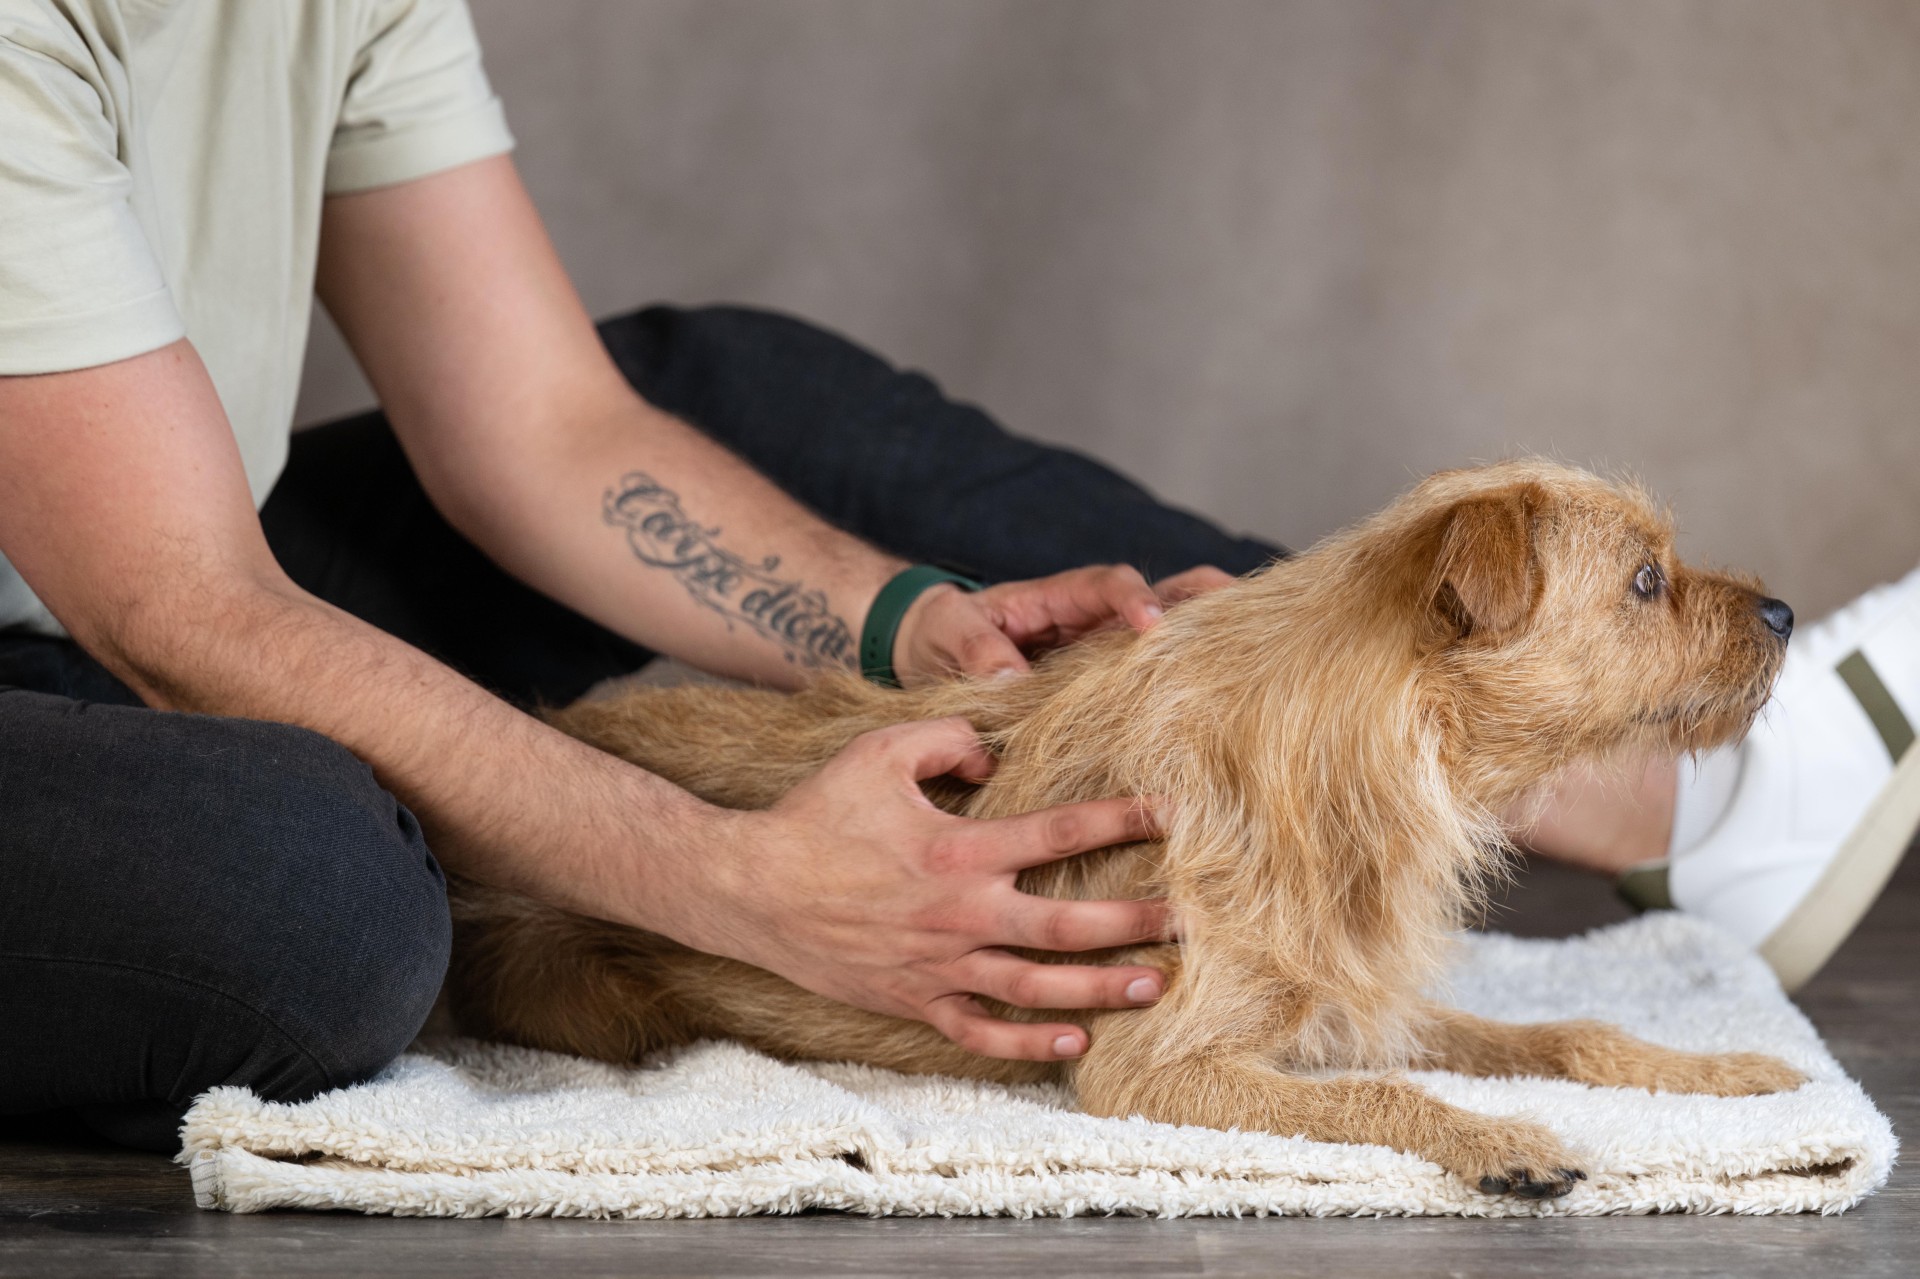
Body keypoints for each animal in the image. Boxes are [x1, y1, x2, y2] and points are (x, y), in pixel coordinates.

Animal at [448, 460, 1805, 1199]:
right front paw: (1496, 1137)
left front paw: (1723, 1070)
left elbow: (1568, 1030)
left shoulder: (1341, 1007)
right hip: (591, 1001)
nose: (1787, 610)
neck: (1346, 761)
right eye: (1644, 582)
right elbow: (1381, 1096)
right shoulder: (1156, 1067)